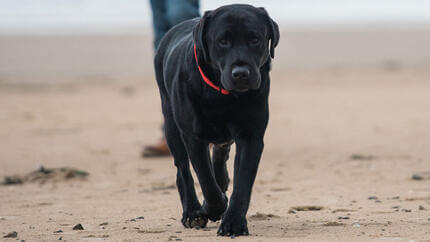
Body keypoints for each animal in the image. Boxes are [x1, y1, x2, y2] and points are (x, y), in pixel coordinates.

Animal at [154, 3, 278, 235]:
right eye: (223, 41)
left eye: (254, 39)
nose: (241, 73)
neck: (223, 97)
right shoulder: (193, 137)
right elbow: (205, 180)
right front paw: (213, 208)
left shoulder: (251, 136)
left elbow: (242, 182)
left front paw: (234, 222)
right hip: (171, 126)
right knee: (183, 171)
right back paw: (193, 212)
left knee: (220, 155)